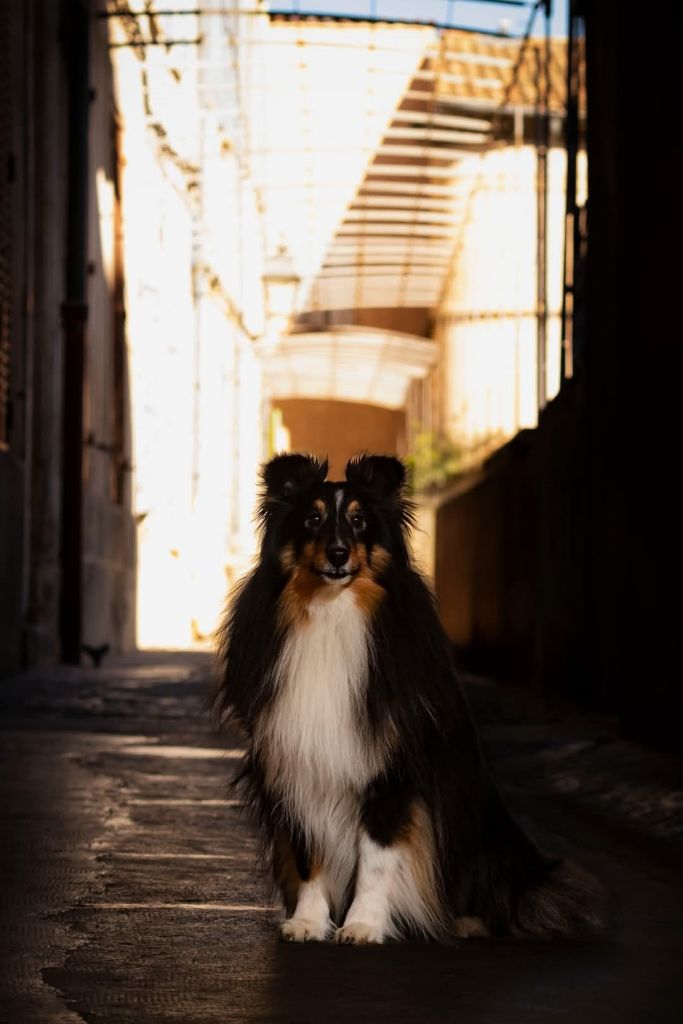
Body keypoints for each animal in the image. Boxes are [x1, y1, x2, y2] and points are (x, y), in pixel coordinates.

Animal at [215, 453, 602, 943]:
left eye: (360, 520)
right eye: (312, 519)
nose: (338, 554)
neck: (331, 614)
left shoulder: (392, 776)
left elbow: (376, 860)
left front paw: (362, 924)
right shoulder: (298, 769)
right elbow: (308, 856)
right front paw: (307, 921)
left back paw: (468, 921)